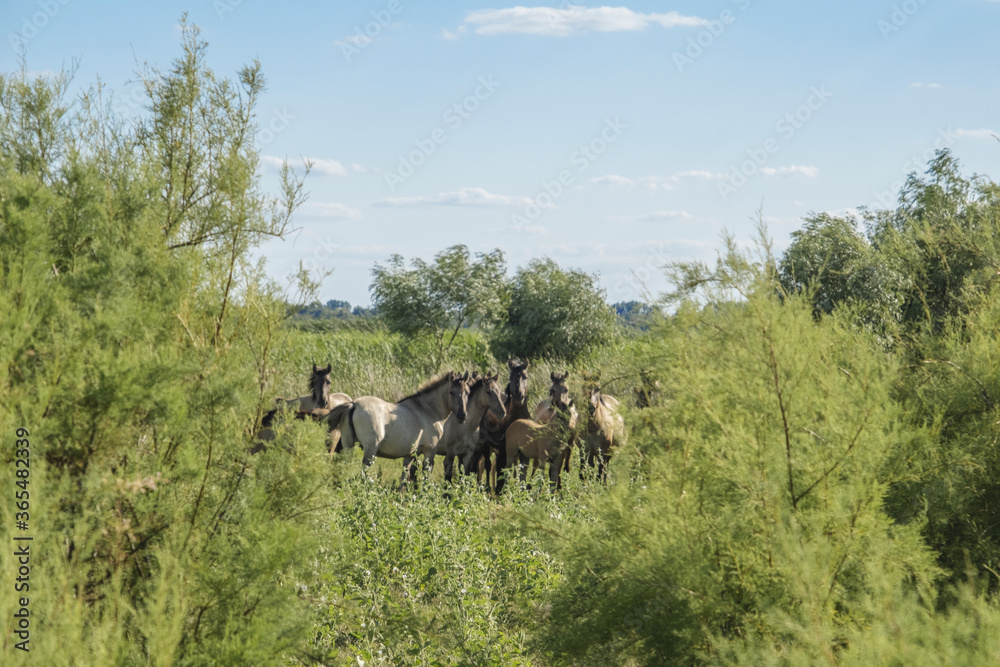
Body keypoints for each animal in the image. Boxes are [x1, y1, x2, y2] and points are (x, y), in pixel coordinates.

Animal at [327, 371, 470, 486]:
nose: (462, 416)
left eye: (467, 392)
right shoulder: (429, 451)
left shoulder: (409, 455)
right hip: (370, 451)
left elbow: (404, 480)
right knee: (363, 474)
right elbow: (425, 477)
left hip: (348, 445)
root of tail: (354, 404)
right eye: (451, 392)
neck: (428, 409)